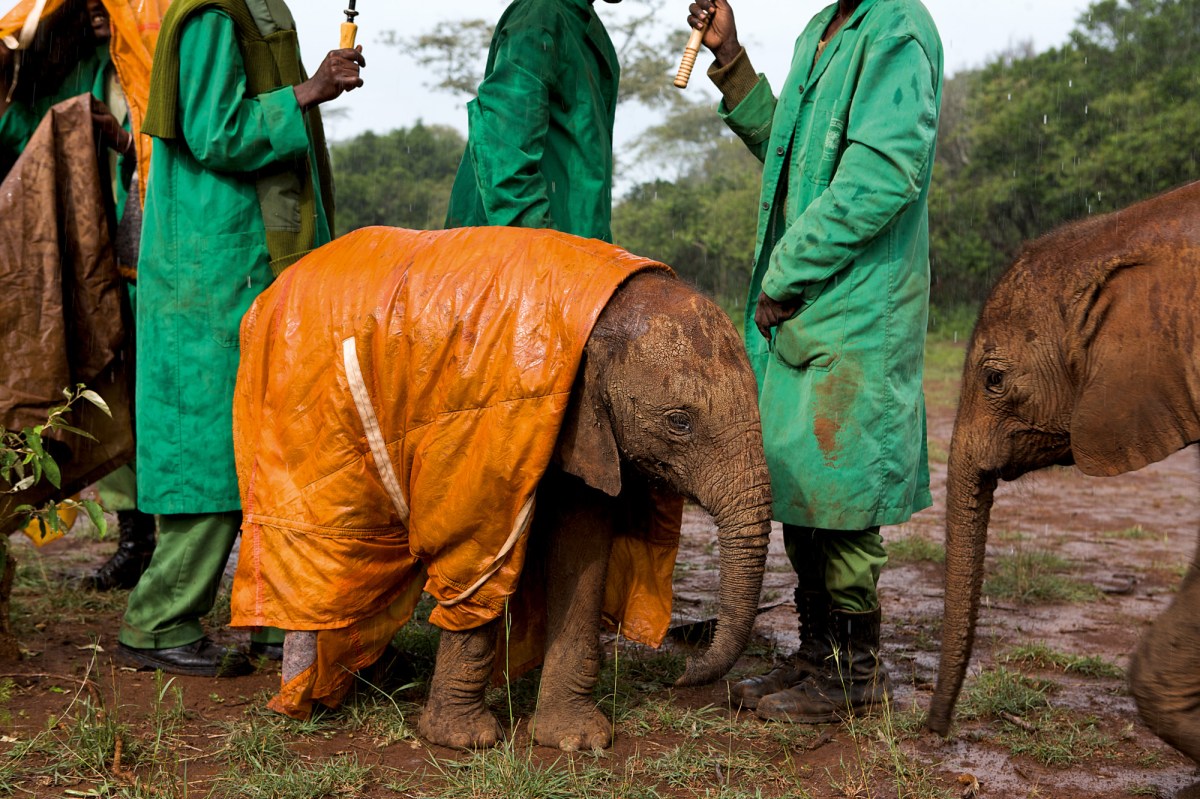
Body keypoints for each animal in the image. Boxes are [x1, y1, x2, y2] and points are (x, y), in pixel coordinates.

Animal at [230, 224, 772, 748]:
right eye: (679, 422)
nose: (679, 676)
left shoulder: (587, 427)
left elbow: (584, 544)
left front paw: (574, 740)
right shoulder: (484, 430)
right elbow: (478, 552)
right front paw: (462, 741)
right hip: (297, 416)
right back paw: (311, 698)